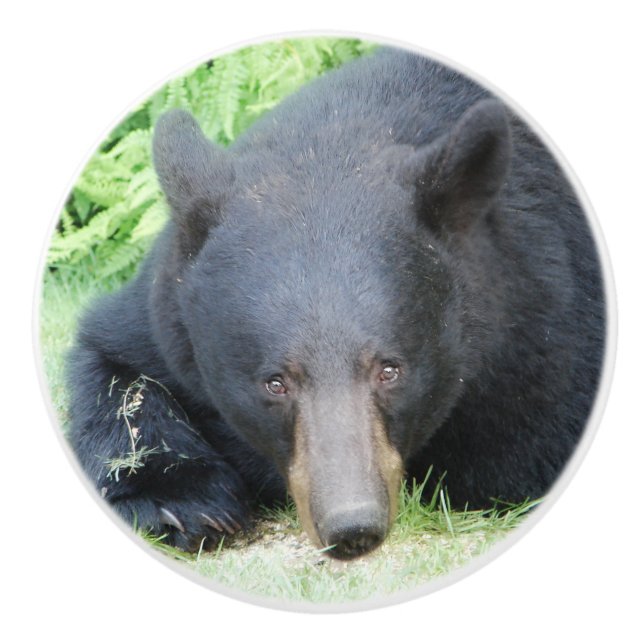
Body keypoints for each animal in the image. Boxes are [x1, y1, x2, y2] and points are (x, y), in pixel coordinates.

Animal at [67, 46, 606, 560]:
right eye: (275, 382)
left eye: (390, 370)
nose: (352, 526)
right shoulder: (166, 308)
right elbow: (114, 364)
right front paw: (177, 501)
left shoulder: (547, 332)